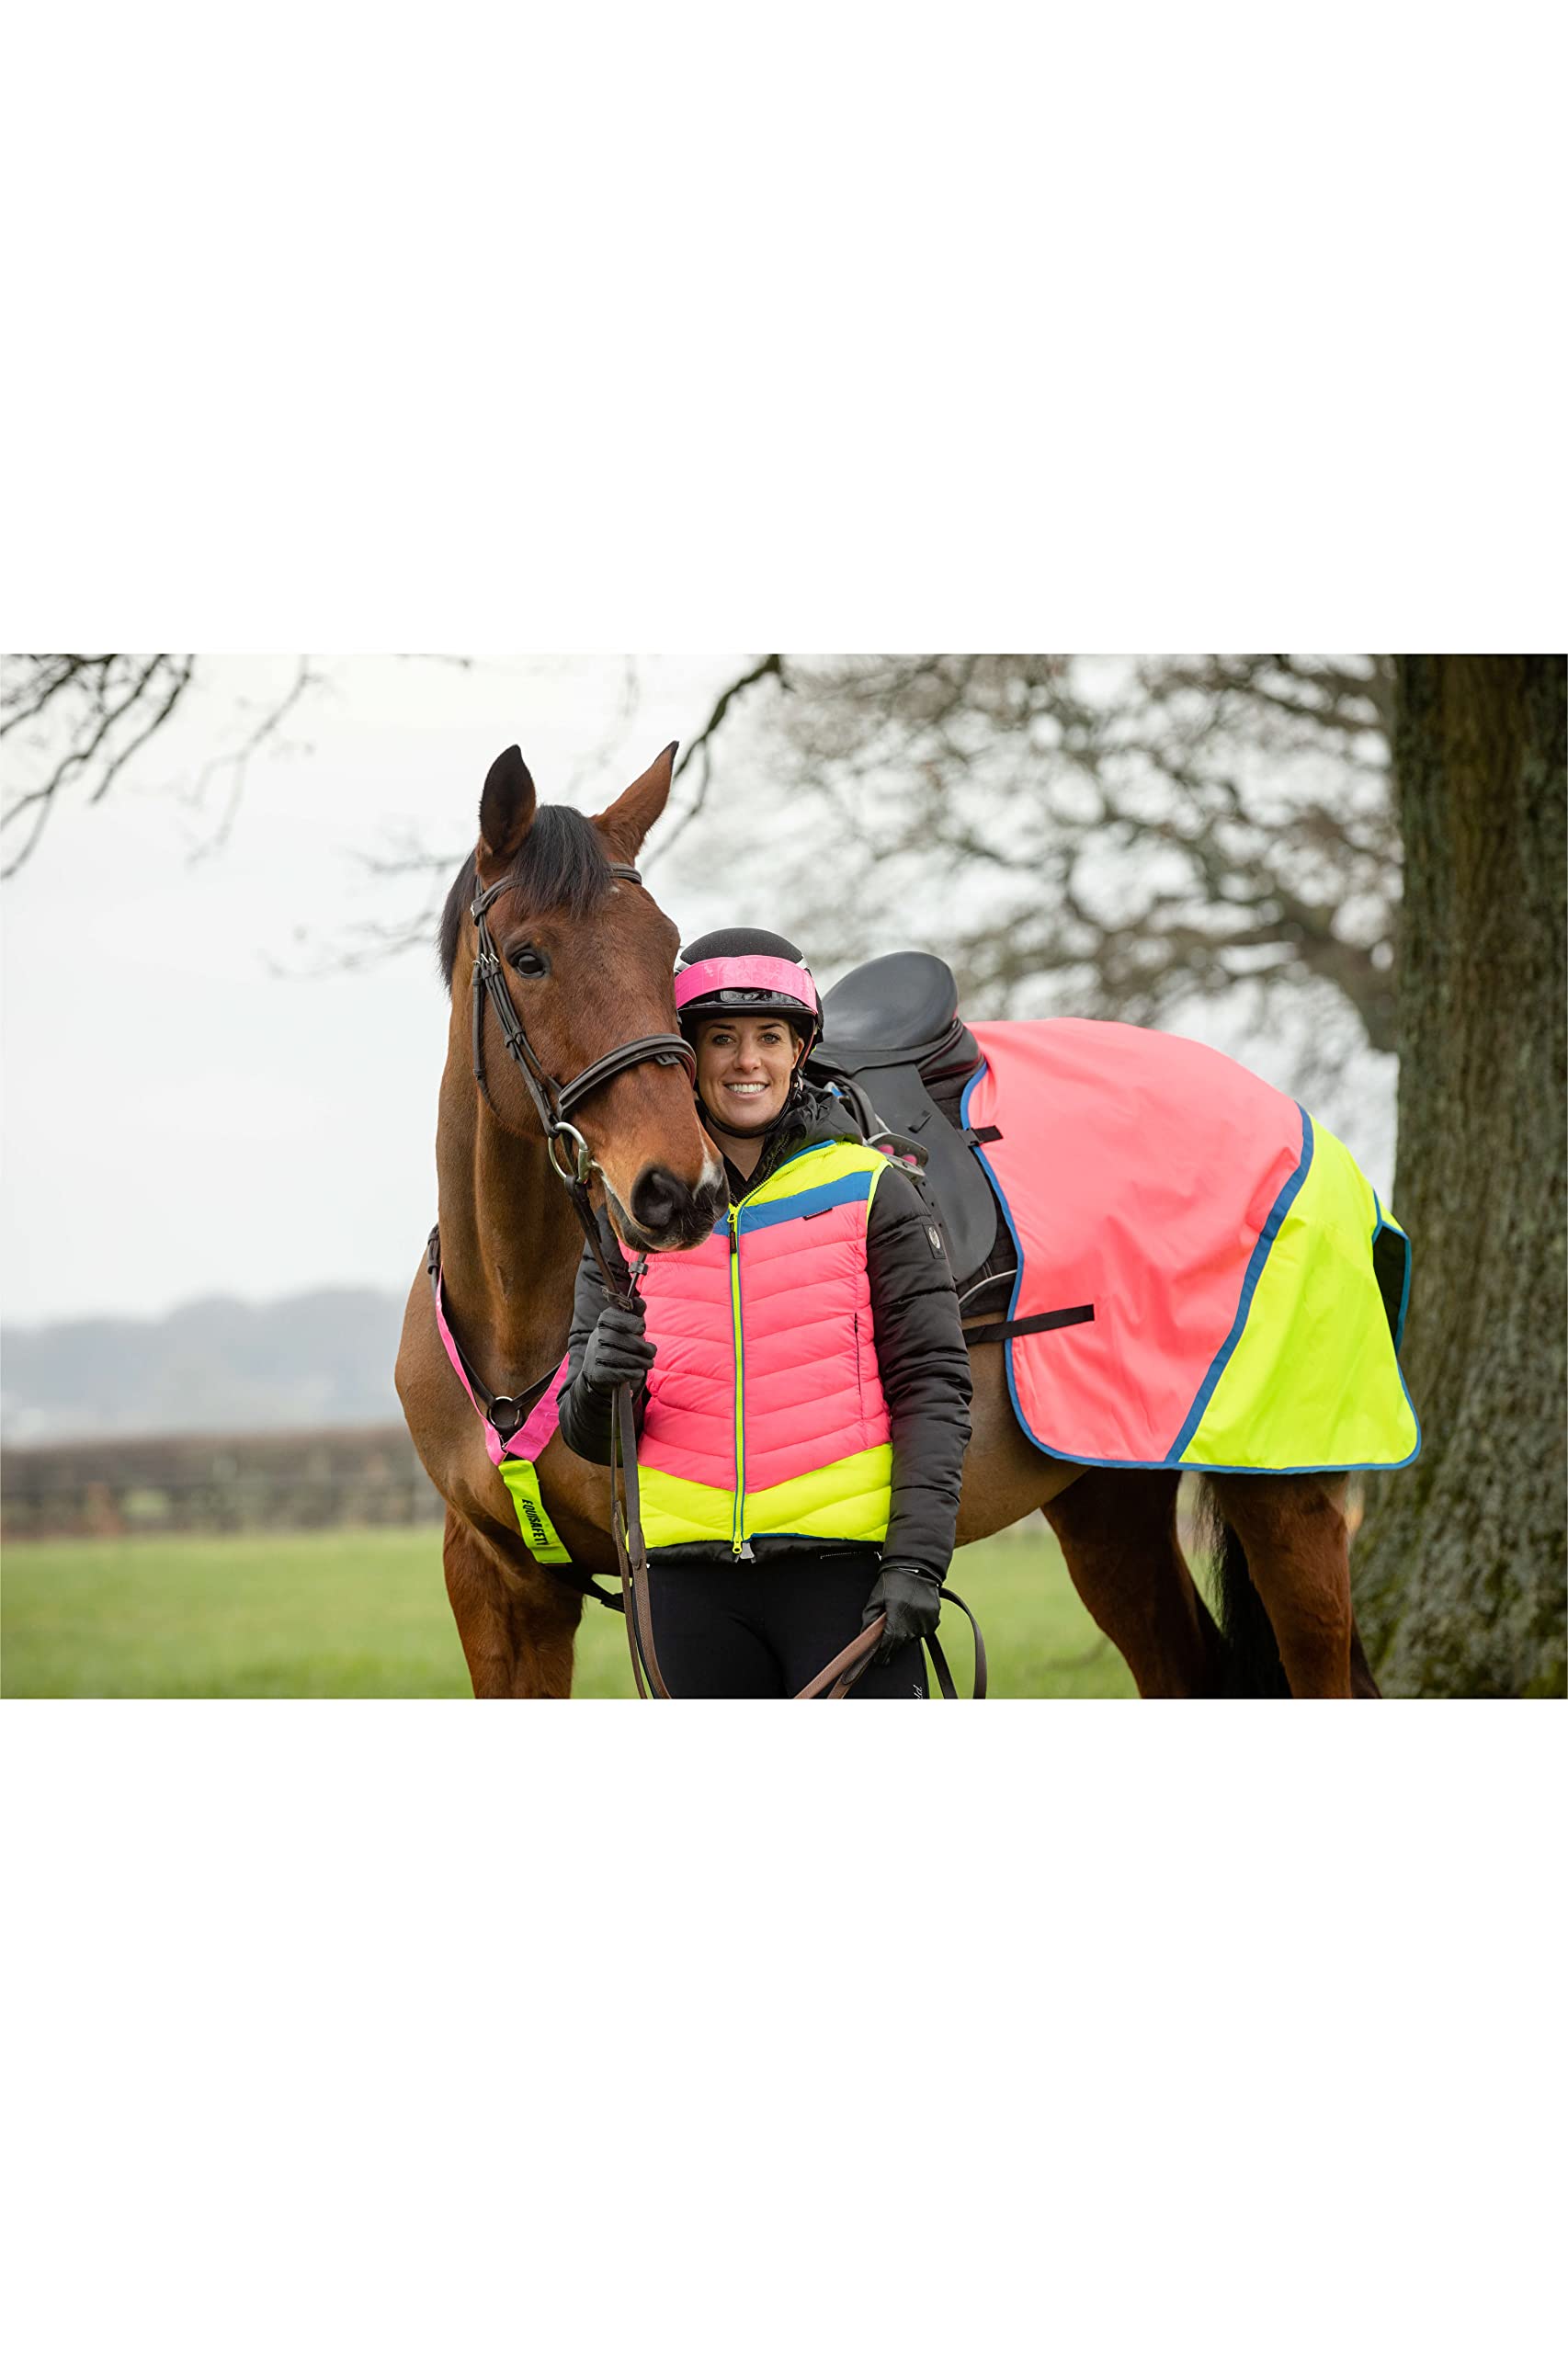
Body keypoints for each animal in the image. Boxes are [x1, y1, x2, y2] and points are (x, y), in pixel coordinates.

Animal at [396, 744, 1382, 1699]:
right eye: (530, 958)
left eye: (667, 954)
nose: (680, 1190)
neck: (512, 1314)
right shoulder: (500, 1587)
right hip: (1108, 1498)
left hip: (1281, 1490)